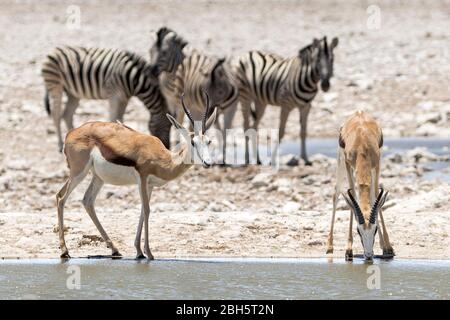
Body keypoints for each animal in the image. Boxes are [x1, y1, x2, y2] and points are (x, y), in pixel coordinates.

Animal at [42, 44, 172, 151]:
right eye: (167, 125)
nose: (167, 147)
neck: (134, 80)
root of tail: (55, 50)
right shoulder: (114, 95)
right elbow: (113, 118)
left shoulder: (124, 98)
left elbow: (120, 118)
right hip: (55, 85)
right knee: (56, 114)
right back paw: (60, 144)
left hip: (72, 93)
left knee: (67, 115)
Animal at [148, 27, 239, 162]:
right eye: (150, 51)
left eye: (164, 52)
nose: (152, 71)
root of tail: (217, 73)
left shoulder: (178, 104)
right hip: (224, 109)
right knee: (222, 130)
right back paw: (221, 158)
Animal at [232, 37, 338, 165]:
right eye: (317, 59)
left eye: (332, 59)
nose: (325, 85)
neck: (307, 78)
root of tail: (248, 53)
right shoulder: (285, 106)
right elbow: (281, 132)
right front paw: (273, 159)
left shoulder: (306, 107)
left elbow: (303, 132)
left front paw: (305, 158)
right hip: (245, 96)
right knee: (246, 126)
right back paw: (247, 159)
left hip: (260, 101)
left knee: (254, 127)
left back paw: (257, 159)